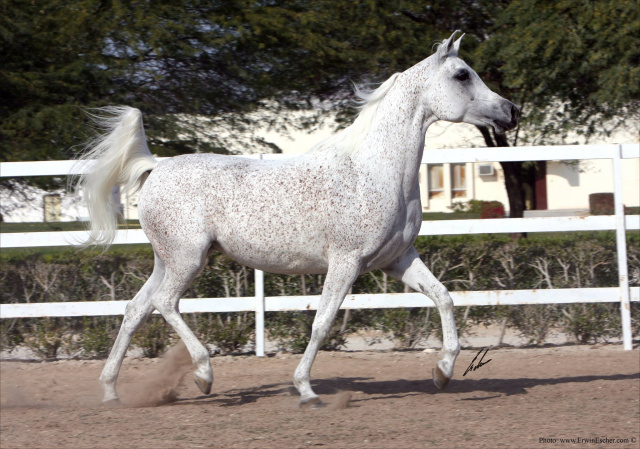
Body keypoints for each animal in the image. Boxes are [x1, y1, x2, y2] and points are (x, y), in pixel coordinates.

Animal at [79, 29, 520, 404]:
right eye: (462, 74)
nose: (511, 111)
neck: (376, 171)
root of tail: (157, 167)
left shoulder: (397, 259)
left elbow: (444, 296)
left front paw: (442, 372)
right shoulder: (346, 262)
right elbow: (322, 323)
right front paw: (306, 389)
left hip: (166, 260)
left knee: (136, 308)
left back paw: (110, 391)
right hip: (188, 259)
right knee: (165, 303)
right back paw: (204, 375)